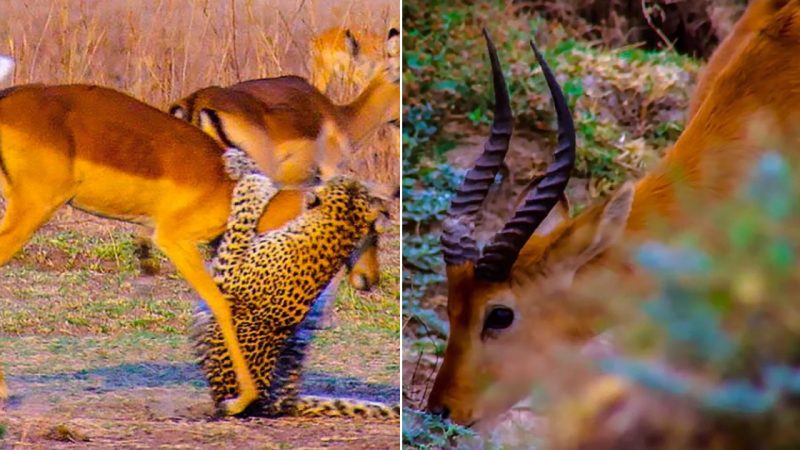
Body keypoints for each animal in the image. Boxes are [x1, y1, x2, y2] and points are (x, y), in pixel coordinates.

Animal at [188, 149, 400, 420]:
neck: (338, 229)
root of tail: (277, 401)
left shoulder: (227, 269)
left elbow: (243, 212)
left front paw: (250, 178)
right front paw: (246, 164)